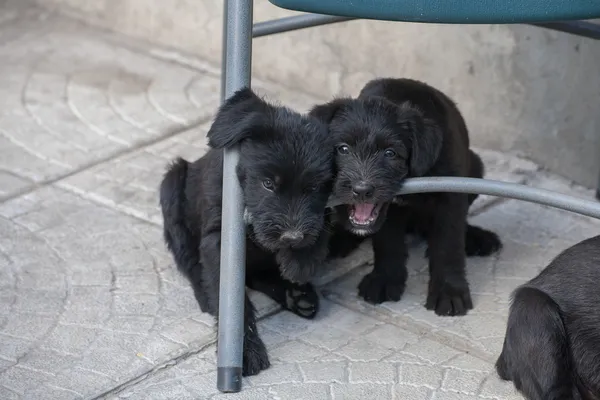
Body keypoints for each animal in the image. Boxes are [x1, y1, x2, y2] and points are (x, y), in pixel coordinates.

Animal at [159, 87, 336, 376]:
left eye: (313, 188)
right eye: (267, 183)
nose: (292, 237)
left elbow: (323, 221)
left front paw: (300, 260)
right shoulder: (218, 240)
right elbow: (234, 301)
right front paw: (245, 351)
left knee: (256, 276)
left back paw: (296, 294)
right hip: (172, 184)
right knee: (188, 259)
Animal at [312, 77, 504, 316]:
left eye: (390, 153)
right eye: (343, 149)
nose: (362, 189)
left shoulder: (451, 195)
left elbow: (448, 244)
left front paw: (449, 291)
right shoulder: (389, 211)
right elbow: (387, 241)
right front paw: (385, 280)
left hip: (476, 166)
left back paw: (476, 237)